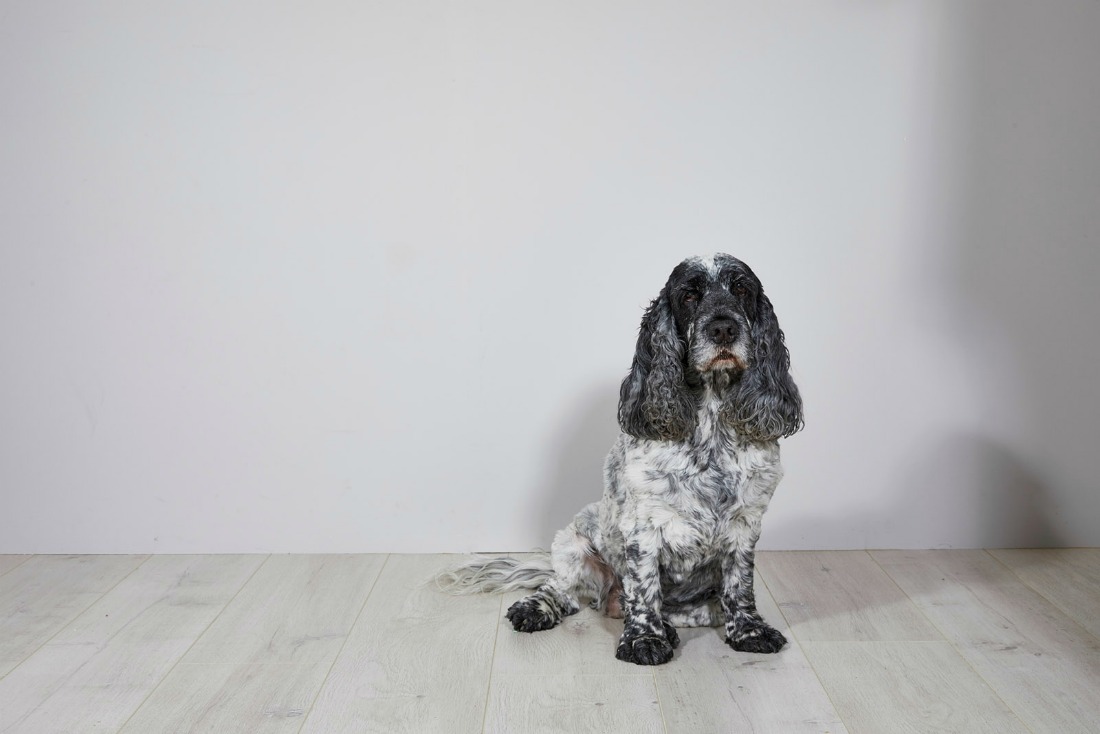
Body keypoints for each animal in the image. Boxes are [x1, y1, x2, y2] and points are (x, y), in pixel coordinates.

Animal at [440, 254, 809, 664]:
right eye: (689, 295)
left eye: (742, 289)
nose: (723, 328)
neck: (711, 421)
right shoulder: (643, 525)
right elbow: (644, 587)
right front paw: (643, 640)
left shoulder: (746, 524)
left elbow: (739, 585)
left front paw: (749, 631)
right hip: (573, 538)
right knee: (563, 589)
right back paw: (536, 609)